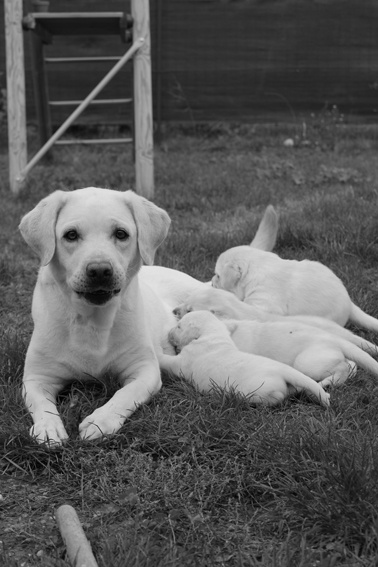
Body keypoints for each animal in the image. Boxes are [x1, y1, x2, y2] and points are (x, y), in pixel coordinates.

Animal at [158, 310, 330, 408]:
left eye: (179, 327)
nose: (168, 333)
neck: (213, 335)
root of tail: (283, 370)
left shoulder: (182, 362)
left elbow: (167, 360)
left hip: (259, 391)